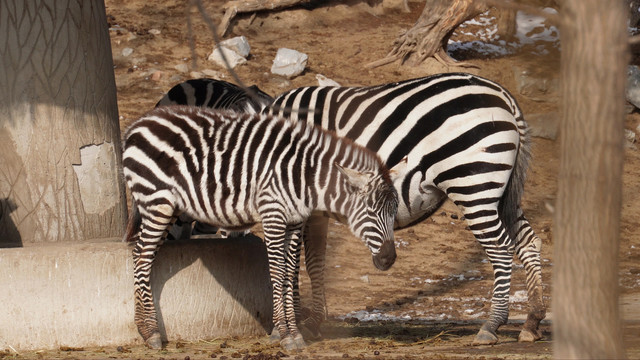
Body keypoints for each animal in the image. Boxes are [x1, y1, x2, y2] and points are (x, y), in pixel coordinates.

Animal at [120, 105, 400, 350]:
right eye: (371, 211)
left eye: (394, 211)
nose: (389, 259)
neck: (304, 177)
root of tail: (138, 123)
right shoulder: (273, 214)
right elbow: (278, 273)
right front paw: (285, 334)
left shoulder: (295, 221)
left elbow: (289, 272)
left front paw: (294, 333)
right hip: (157, 201)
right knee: (142, 257)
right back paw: (151, 332)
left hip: (166, 207)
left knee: (143, 255)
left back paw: (144, 327)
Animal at [264, 73, 544, 346]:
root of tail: (502, 95)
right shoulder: (313, 212)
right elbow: (313, 261)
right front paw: (311, 322)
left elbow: (290, 264)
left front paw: (287, 328)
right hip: (503, 193)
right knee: (528, 241)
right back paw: (532, 321)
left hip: (473, 185)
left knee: (501, 247)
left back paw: (492, 324)